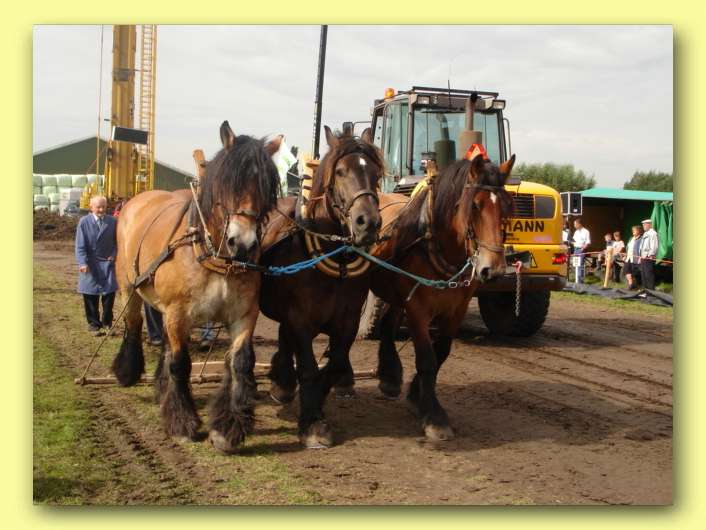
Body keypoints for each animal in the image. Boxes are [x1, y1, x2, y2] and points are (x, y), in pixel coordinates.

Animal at [111, 121, 281, 454]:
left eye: (267, 187)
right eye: (228, 182)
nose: (243, 244)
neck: (213, 257)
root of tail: (137, 200)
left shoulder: (244, 314)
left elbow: (240, 362)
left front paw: (227, 429)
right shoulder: (178, 313)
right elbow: (181, 364)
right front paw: (182, 423)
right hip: (129, 288)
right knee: (133, 325)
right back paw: (128, 371)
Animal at [258, 126, 384, 448]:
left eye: (376, 173)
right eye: (340, 171)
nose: (368, 223)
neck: (335, 260)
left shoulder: (347, 321)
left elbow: (335, 364)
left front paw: (317, 404)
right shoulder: (301, 319)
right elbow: (310, 369)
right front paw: (313, 424)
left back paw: (283, 382)